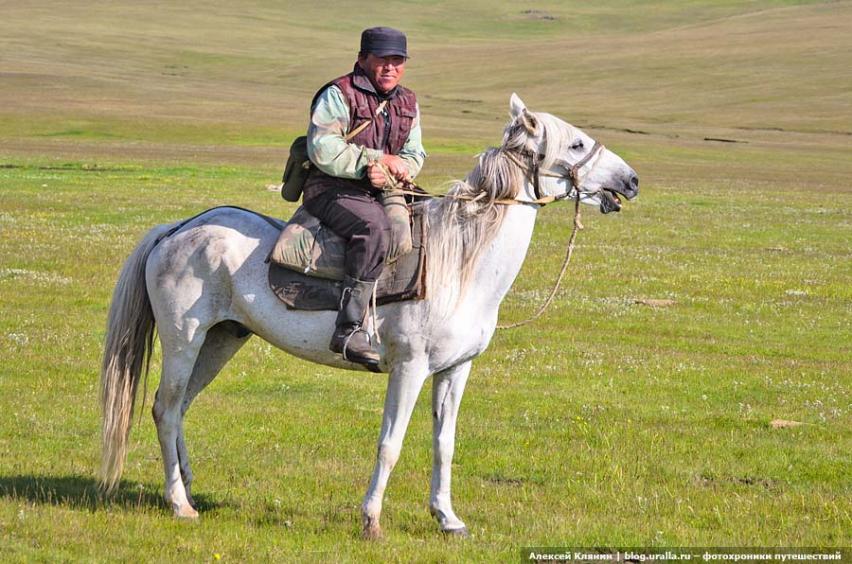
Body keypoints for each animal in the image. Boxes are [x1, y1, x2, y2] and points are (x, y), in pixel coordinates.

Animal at [98, 93, 640, 536]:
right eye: (575, 143)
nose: (632, 181)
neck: (460, 265)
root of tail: (178, 229)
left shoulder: (455, 371)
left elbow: (444, 443)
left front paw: (448, 518)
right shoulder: (410, 368)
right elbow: (390, 444)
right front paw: (371, 519)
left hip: (221, 339)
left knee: (181, 409)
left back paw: (188, 486)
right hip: (184, 339)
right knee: (166, 408)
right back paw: (179, 504)